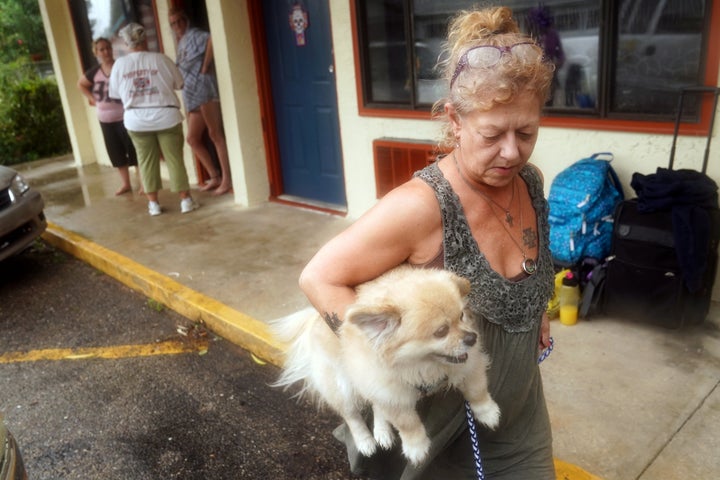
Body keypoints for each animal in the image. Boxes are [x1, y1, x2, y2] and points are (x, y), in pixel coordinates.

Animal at [272, 266, 498, 464]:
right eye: (441, 332)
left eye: (462, 316)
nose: (472, 338)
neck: (422, 366)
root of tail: (314, 319)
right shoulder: (393, 394)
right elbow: (408, 424)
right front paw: (416, 448)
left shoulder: (470, 364)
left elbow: (477, 390)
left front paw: (488, 413)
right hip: (343, 386)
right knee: (351, 415)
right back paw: (365, 441)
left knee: (376, 406)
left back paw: (382, 432)